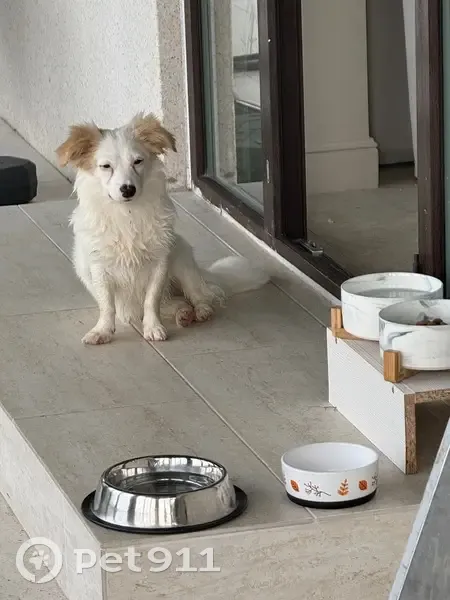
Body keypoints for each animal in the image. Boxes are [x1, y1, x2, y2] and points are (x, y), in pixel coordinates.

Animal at [56, 113, 269, 345]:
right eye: (105, 166)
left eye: (137, 161)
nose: (128, 189)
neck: (127, 213)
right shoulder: (99, 268)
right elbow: (107, 305)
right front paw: (103, 330)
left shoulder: (159, 264)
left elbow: (152, 300)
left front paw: (153, 328)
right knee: (177, 303)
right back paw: (183, 314)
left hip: (183, 261)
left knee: (199, 296)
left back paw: (200, 311)